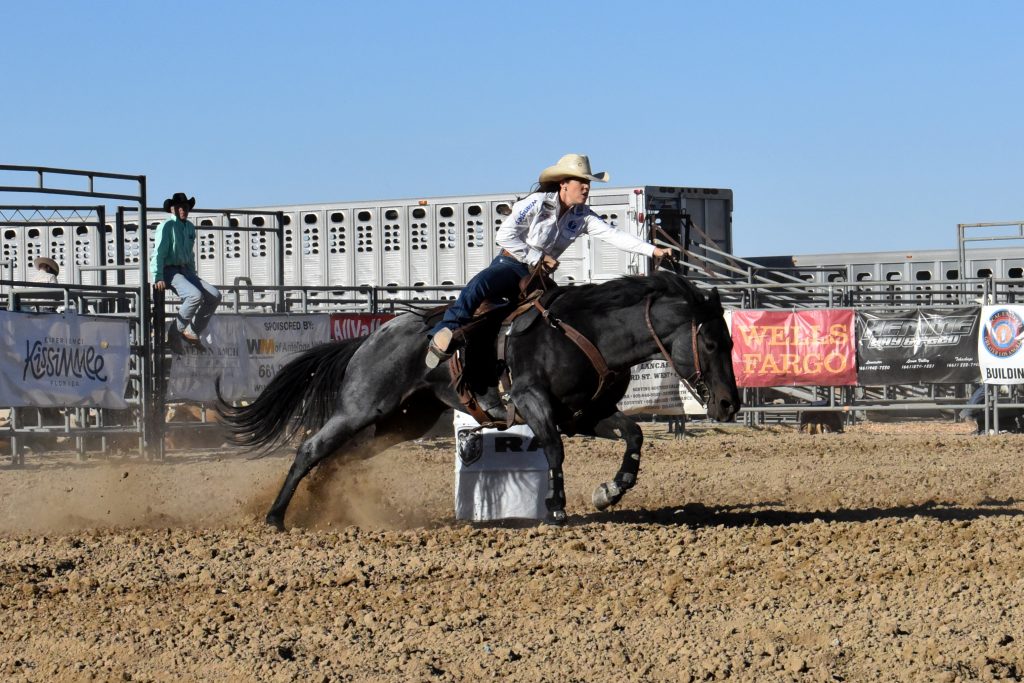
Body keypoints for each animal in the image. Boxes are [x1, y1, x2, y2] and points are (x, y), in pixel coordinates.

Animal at [220, 272, 741, 528]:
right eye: (711, 342)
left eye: (732, 342)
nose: (730, 405)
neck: (587, 332)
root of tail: (374, 334)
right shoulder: (533, 403)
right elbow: (554, 450)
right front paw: (556, 508)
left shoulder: (586, 414)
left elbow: (633, 435)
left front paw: (610, 491)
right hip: (362, 406)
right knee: (313, 446)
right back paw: (275, 517)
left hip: (403, 421)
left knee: (343, 455)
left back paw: (320, 501)